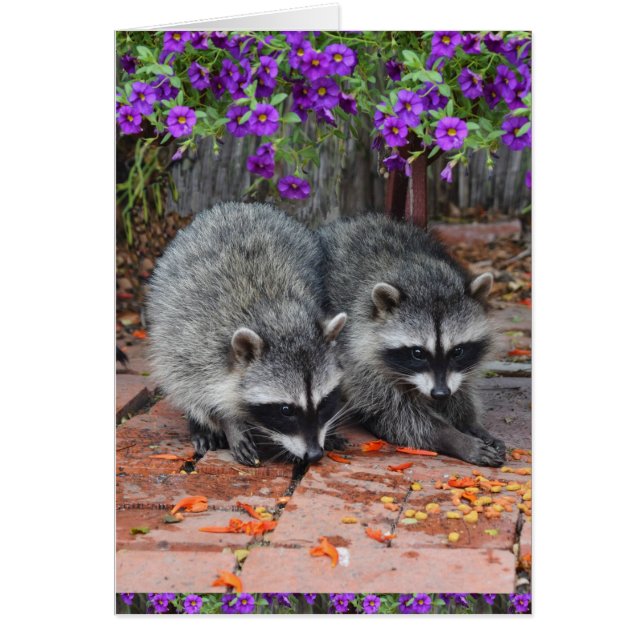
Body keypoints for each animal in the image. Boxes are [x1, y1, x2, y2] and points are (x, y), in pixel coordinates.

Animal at [146, 203, 348, 466]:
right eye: (286, 410)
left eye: (323, 403)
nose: (314, 455)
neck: (277, 312)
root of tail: (238, 206)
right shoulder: (201, 343)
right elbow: (205, 391)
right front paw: (230, 424)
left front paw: (329, 429)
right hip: (169, 319)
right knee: (178, 378)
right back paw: (199, 423)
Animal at [319, 214, 506, 467]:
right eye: (418, 353)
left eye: (458, 351)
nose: (440, 393)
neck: (425, 277)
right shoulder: (358, 352)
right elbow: (397, 415)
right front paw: (453, 437)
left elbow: (462, 391)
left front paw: (470, 424)